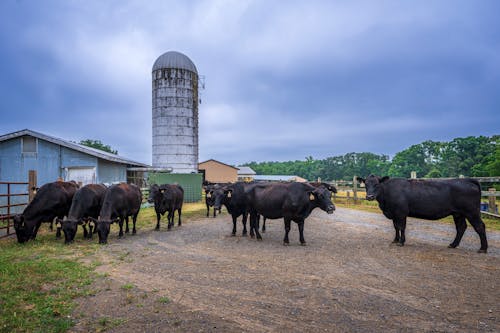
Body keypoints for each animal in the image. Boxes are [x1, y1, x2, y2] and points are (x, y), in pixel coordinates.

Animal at [358, 174, 490, 252]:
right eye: (366, 184)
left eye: (377, 184)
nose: (369, 196)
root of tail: (468, 180)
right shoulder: (394, 214)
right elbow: (395, 227)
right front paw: (395, 240)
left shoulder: (401, 213)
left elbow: (401, 227)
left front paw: (401, 242)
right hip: (458, 213)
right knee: (461, 227)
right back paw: (453, 244)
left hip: (472, 212)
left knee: (480, 226)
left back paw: (483, 249)